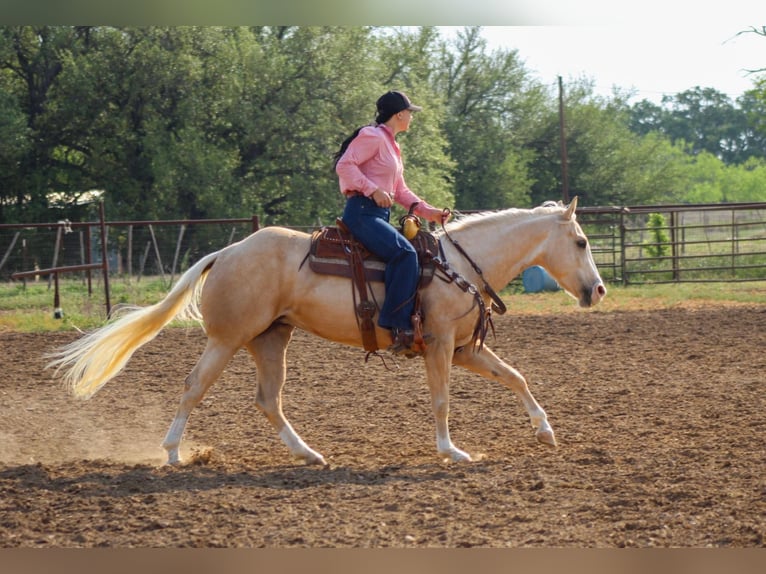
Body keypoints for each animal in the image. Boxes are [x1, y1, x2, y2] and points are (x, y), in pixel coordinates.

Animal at [48, 197, 605, 466]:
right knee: (193, 387)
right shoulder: (441, 346)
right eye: (581, 241)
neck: (459, 265)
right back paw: (172, 453)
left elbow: (515, 377)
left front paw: (545, 430)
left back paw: (308, 453)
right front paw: (451, 451)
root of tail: (226, 252)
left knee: (268, 400)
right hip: (227, 340)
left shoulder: (466, 348)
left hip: (271, 339)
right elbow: (442, 400)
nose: (598, 290)